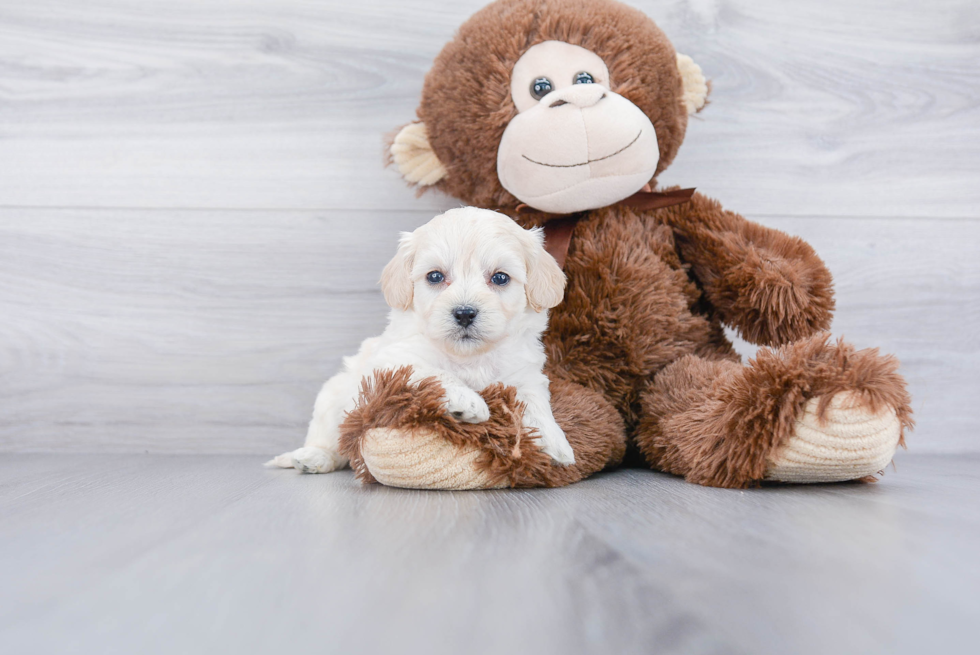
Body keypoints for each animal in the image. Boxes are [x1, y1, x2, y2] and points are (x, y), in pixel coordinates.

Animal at [264, 208, 580, 474]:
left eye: (500, 277)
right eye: (435, 276)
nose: (464, 313)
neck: (470, 356)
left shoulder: (525, 376)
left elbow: (536, 406)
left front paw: (556, 445)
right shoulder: (393, 363)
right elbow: (435, 371)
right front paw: (467, 400)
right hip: (333, 400)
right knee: (334, 443)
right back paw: (312, 457)